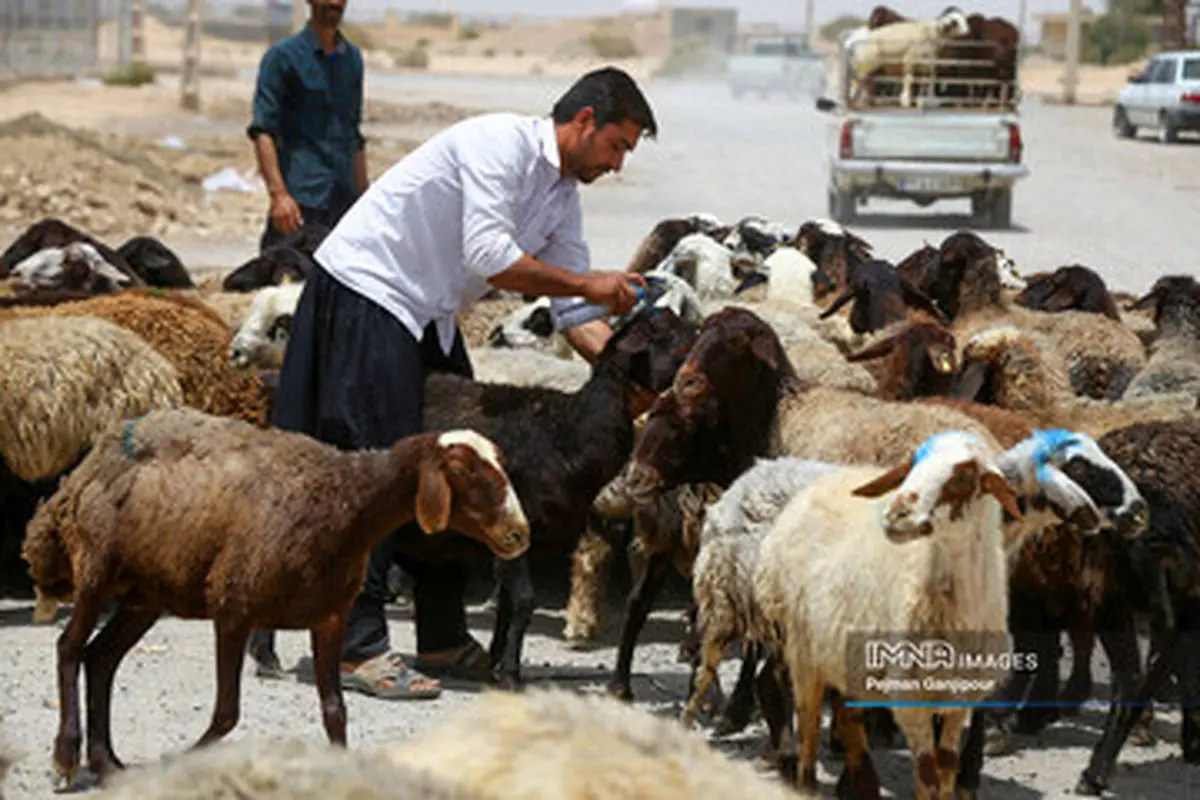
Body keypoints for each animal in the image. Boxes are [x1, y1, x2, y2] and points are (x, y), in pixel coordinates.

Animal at [21, 410, 530, 791]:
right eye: (462, 470)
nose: (520, 533)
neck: (344, 504)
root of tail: (84, 469)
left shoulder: (330, 617)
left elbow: (335, 712)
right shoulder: (233, 606)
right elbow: (226, 714)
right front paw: (183, 761)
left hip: (143, 595)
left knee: (101, 659)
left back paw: (107, 764)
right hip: (96, 571)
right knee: (69, 648)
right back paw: (65, 758)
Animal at [753, 434, 1017, 796]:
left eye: (963, 476)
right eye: (913, 465)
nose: (897, 513)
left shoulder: (958, 698)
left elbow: (947, 768)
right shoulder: (909, 697)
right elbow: (927, 775)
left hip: (842, 647)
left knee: (847, 715)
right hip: (803, 648)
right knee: (808, 724)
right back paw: (807, 784)